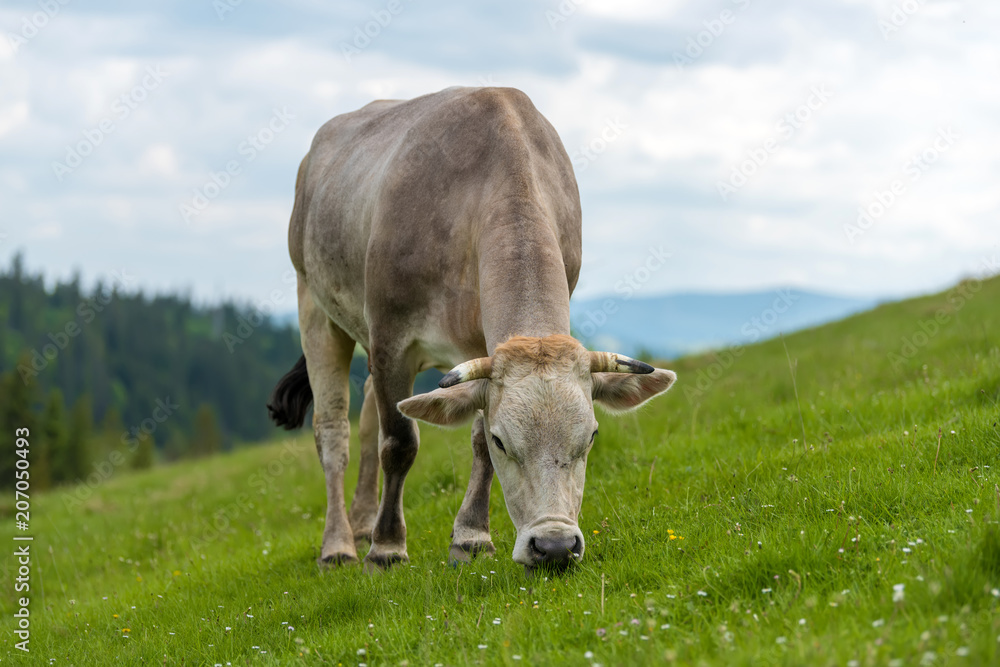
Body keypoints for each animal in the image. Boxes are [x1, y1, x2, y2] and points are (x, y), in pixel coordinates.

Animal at [266, 86, 676, 572]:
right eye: (506, 442)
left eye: (591, 436)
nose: (555, 546)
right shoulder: (390, 337)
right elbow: (400, 442)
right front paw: (387, 548)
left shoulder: (479, 349)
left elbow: (469, 440)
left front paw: (471, 537)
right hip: (315, 306)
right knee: (333, 432)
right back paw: (340, 545)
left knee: (366, 420)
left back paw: (363, 521)